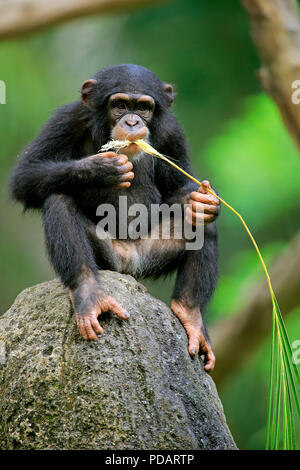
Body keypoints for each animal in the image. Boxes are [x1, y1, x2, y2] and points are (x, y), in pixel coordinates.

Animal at [9, 63, 220, 370]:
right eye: (119, 105)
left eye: (143, 107)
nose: (132, 122)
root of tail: (128, 267)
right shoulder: (66, 119)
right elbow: (25, 174)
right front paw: (102, 169)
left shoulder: (172, 133)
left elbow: (180, 185)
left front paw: (202, 199)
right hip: (107, 257)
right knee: (58, 199)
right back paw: (89, 294)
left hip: (149, 255)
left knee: (202, 225)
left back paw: (190, 314)